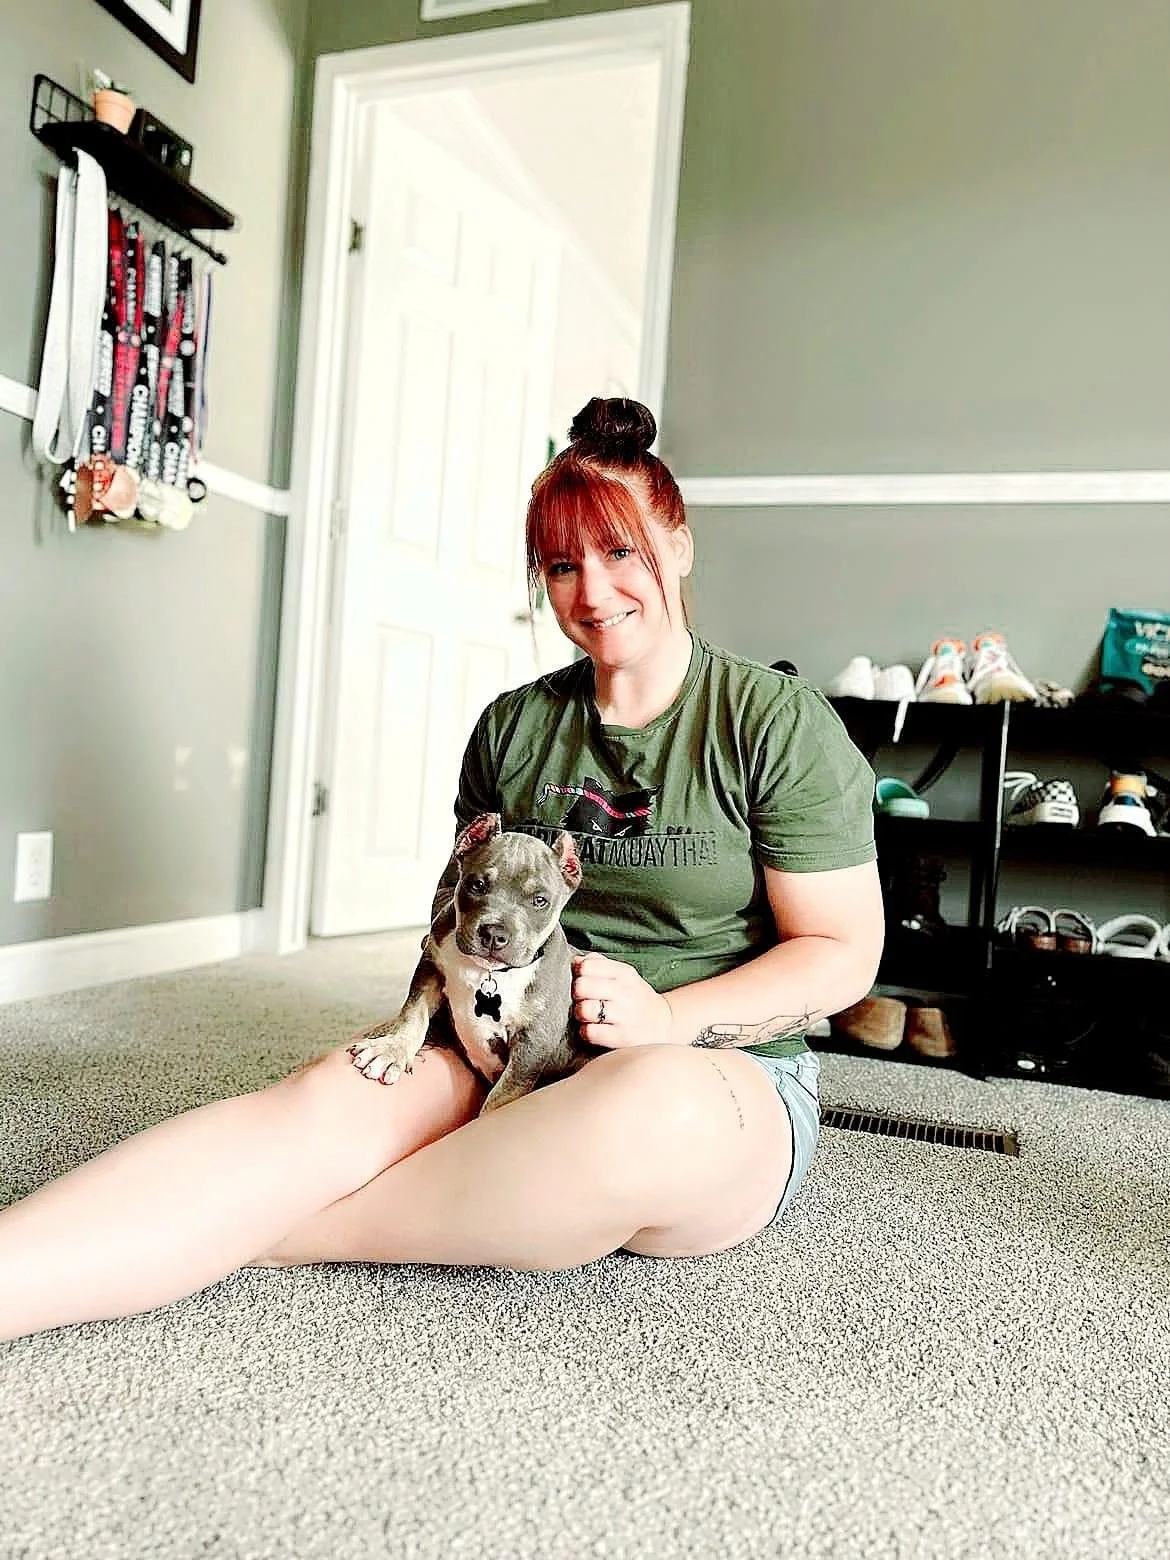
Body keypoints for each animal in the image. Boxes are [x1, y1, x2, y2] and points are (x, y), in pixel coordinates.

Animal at [348, 813, 597, 1113]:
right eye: (477, 885)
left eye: (540, 901)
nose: (494, 934)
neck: (489, 972)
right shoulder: (431, 968)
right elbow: (413, 1013)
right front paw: (392, 1049)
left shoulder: (533, 1044)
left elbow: (501, 1097)